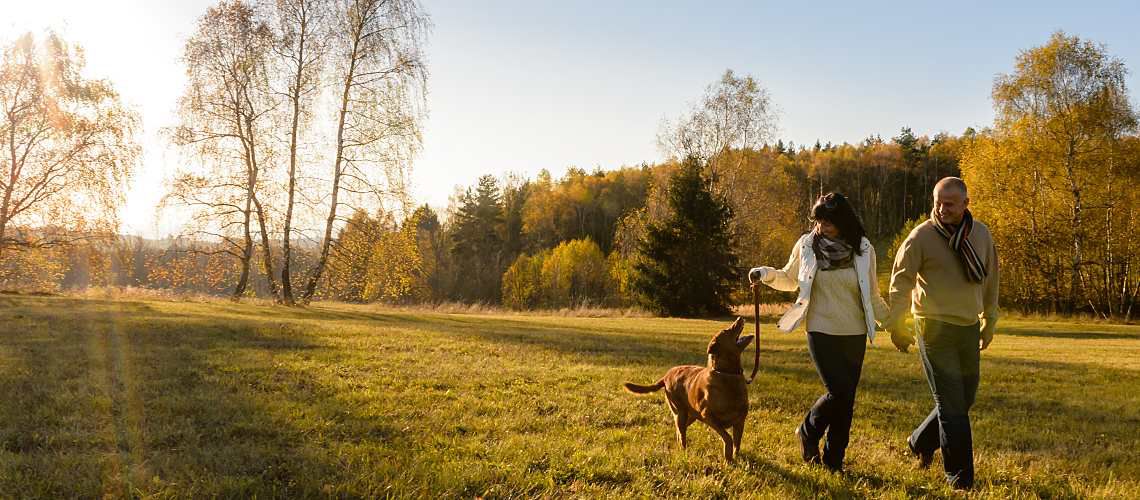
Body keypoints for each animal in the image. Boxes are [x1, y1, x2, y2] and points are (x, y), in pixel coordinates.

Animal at [629, 318, 752, 464]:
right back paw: (683, 450)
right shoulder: (708, 416)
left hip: (691, 414)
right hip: (680, 412)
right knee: (681, 432)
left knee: (679, 430)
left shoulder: (740, 421)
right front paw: (728, 458)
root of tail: (666, 376)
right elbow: (728, 438)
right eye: (727, 330)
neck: (727, 373)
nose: (739, 318)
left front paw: (735, 458)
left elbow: (737, 443)